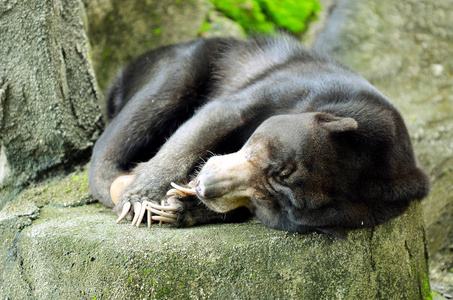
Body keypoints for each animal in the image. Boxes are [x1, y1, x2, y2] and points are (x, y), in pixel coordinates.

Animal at [87, 35, 428, 238]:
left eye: (264, 203)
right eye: (265, 157)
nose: (204, 186)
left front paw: (177, 208)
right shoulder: (296, 83)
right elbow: (216, 117)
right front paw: (142, 201)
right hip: (182, 63)